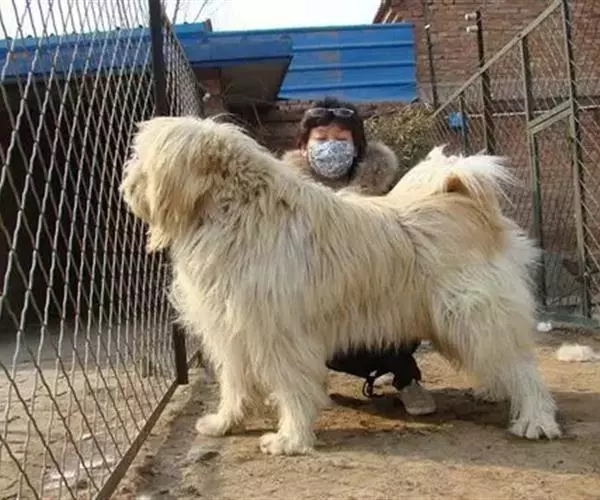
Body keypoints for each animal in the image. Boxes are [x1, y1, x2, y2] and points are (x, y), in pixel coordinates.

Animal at [120, 116, 561, 455]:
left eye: (143, 158)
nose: (126, 189)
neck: (238, 210)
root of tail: (461, 195)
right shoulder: (233, 330)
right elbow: (235, 383)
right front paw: (226, 422)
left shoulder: (279, 333)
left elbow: (293, 386)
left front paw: (291, 439)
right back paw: (495, 390)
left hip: (473, 314)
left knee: (523, 367)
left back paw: (536, 419)